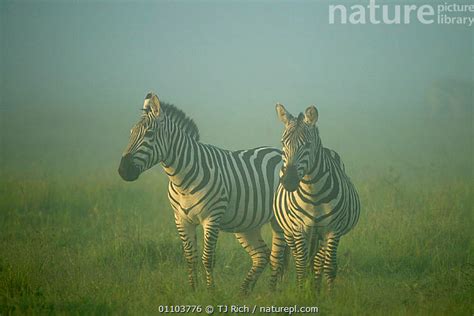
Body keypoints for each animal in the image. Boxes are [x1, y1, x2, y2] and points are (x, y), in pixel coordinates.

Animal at [117, 92, 288, 294]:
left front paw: (211, 293)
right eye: (130, 134)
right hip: (247, 222)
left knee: (277, 258)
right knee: (261, 255)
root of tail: (278, 152)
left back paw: (271, 293)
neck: (182, 180)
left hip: (278, 220)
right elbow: (190, 257)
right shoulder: (181, 220)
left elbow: (208, 259)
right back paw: (244, 292)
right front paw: (193, 291)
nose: (122, 170)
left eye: (149, 134)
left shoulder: (211, 219)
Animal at [272, 103, 362, 292]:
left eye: (307, 145)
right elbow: (300, 264)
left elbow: (328, 266)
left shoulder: (333, 229)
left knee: (318, 261)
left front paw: (327, 294)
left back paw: (316, 286)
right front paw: (301, 291)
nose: (289, 181)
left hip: (321, 235)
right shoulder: (299, 228)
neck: (313, 193)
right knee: (301, 258)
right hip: (290, 232)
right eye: (283, 143)